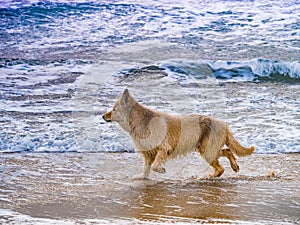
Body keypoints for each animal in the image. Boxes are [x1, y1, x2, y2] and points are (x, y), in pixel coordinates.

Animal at [103, 89, 255, 179]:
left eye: (114, 109)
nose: (103, 116)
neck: (140, 121)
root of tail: (224, 124)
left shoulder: (163, 148)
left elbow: (155, 166)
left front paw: (162, 170)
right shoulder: (148, 154)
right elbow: (146, 170)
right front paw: (143, 179)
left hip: (207, 150)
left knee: (220, 168)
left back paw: (208, 176)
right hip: (207, 148)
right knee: (228, 151)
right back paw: (234, 166)